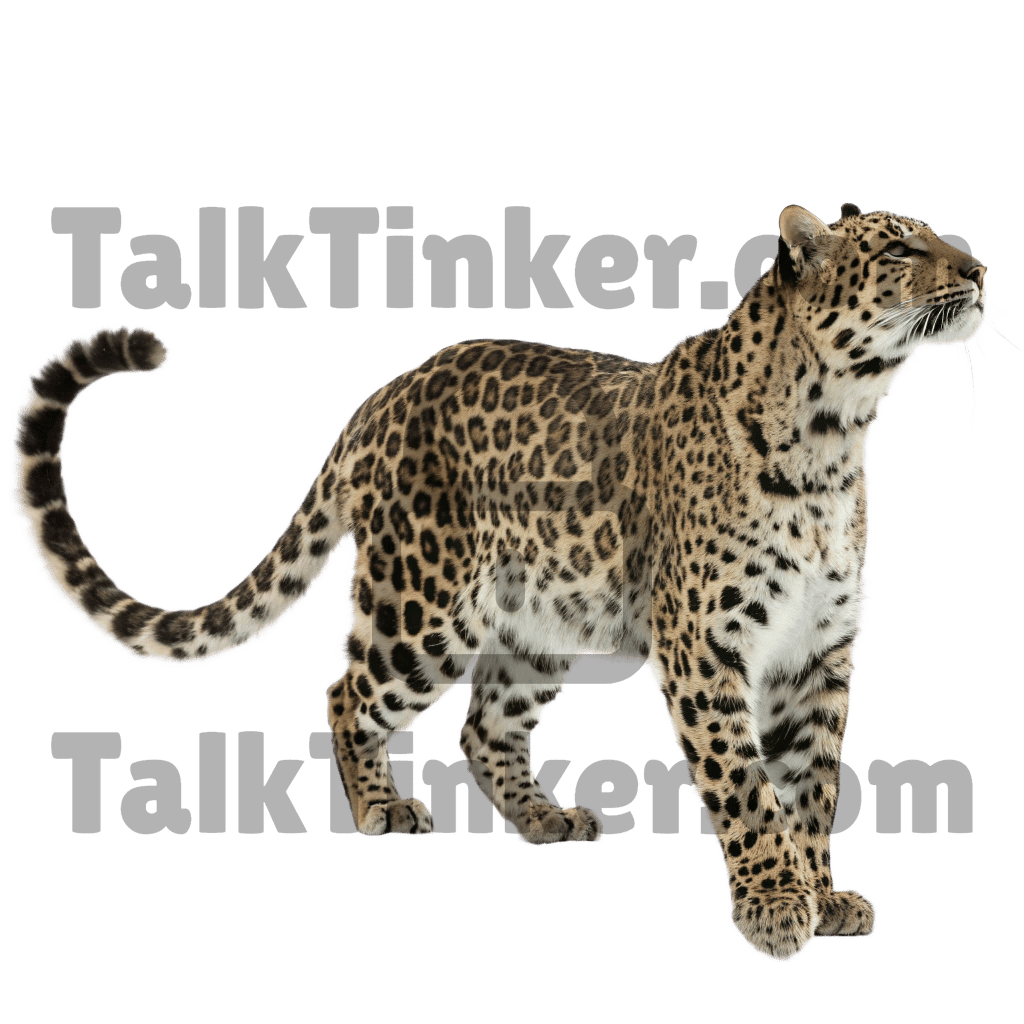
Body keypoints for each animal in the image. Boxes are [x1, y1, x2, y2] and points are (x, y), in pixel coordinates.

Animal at [10, 202, 1011, 962]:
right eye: (901, 248)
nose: (982, 269)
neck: (837, 435)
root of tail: (384, 395)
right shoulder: (708, 645)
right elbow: (744, 785)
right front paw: (773, 906)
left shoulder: (817, 653)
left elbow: (810, 783)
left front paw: (822, 892)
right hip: (424, 608)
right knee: (347, 689)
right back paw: (381, 809)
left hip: (536, 627)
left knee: (483, 727)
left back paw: (542, 819)